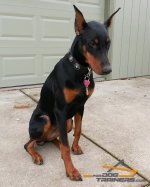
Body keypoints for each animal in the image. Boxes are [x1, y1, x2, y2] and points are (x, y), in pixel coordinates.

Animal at [24, 5, 120, 181]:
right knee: (29, 143)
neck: (80, 70)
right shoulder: (60, 111)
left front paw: (75, 148)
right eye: (92, 43)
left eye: (108, 43)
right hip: (44, 119)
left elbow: (78, 131)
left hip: (66, 123)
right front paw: (71, 171)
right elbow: (66, 146)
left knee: (55, 139)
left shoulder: (80, 106)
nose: (108, 70)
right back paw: (37, 156)